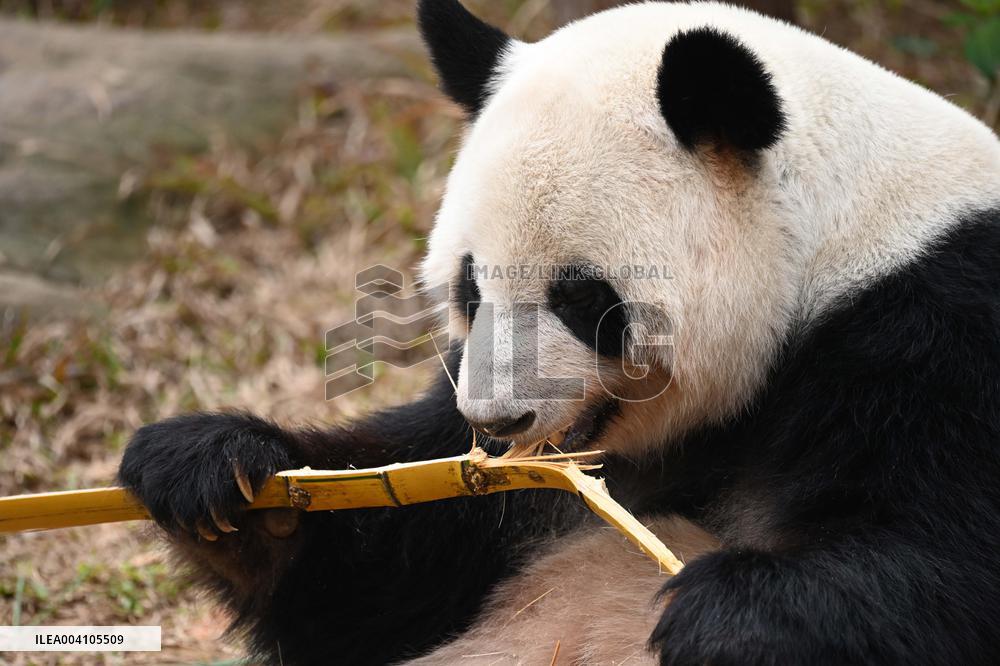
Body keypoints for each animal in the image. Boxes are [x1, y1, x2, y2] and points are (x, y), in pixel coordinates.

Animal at [118, 0, 1000, 664]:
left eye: (582, 297)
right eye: (470, 286)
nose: (497, 424)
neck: (838, 247)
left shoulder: (941, 331)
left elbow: (947, 569)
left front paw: (727, 614)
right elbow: (386, 563)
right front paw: (222, 479)